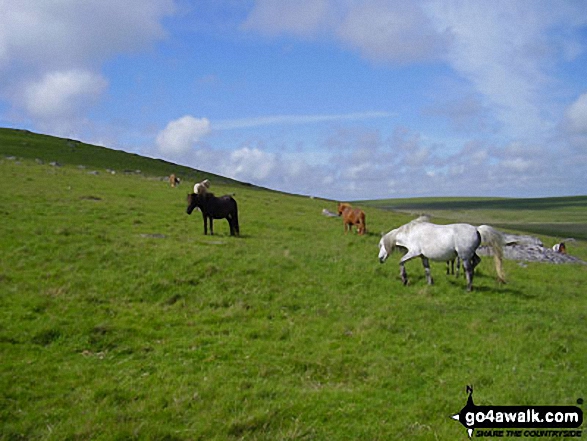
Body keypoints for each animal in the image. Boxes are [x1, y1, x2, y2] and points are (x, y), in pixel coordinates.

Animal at [378, 217, 508, 292]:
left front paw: (404, 280)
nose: (380, 259)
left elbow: (401, 261)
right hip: (470, 254)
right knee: (476, 262)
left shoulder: (414, 252)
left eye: (380, 245)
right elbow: (427, 270)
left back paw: (468, 288)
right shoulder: (423, 257)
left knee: (469, 270)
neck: (410, 234)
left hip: (464, 256)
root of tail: (476, 229)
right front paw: (430, 283)